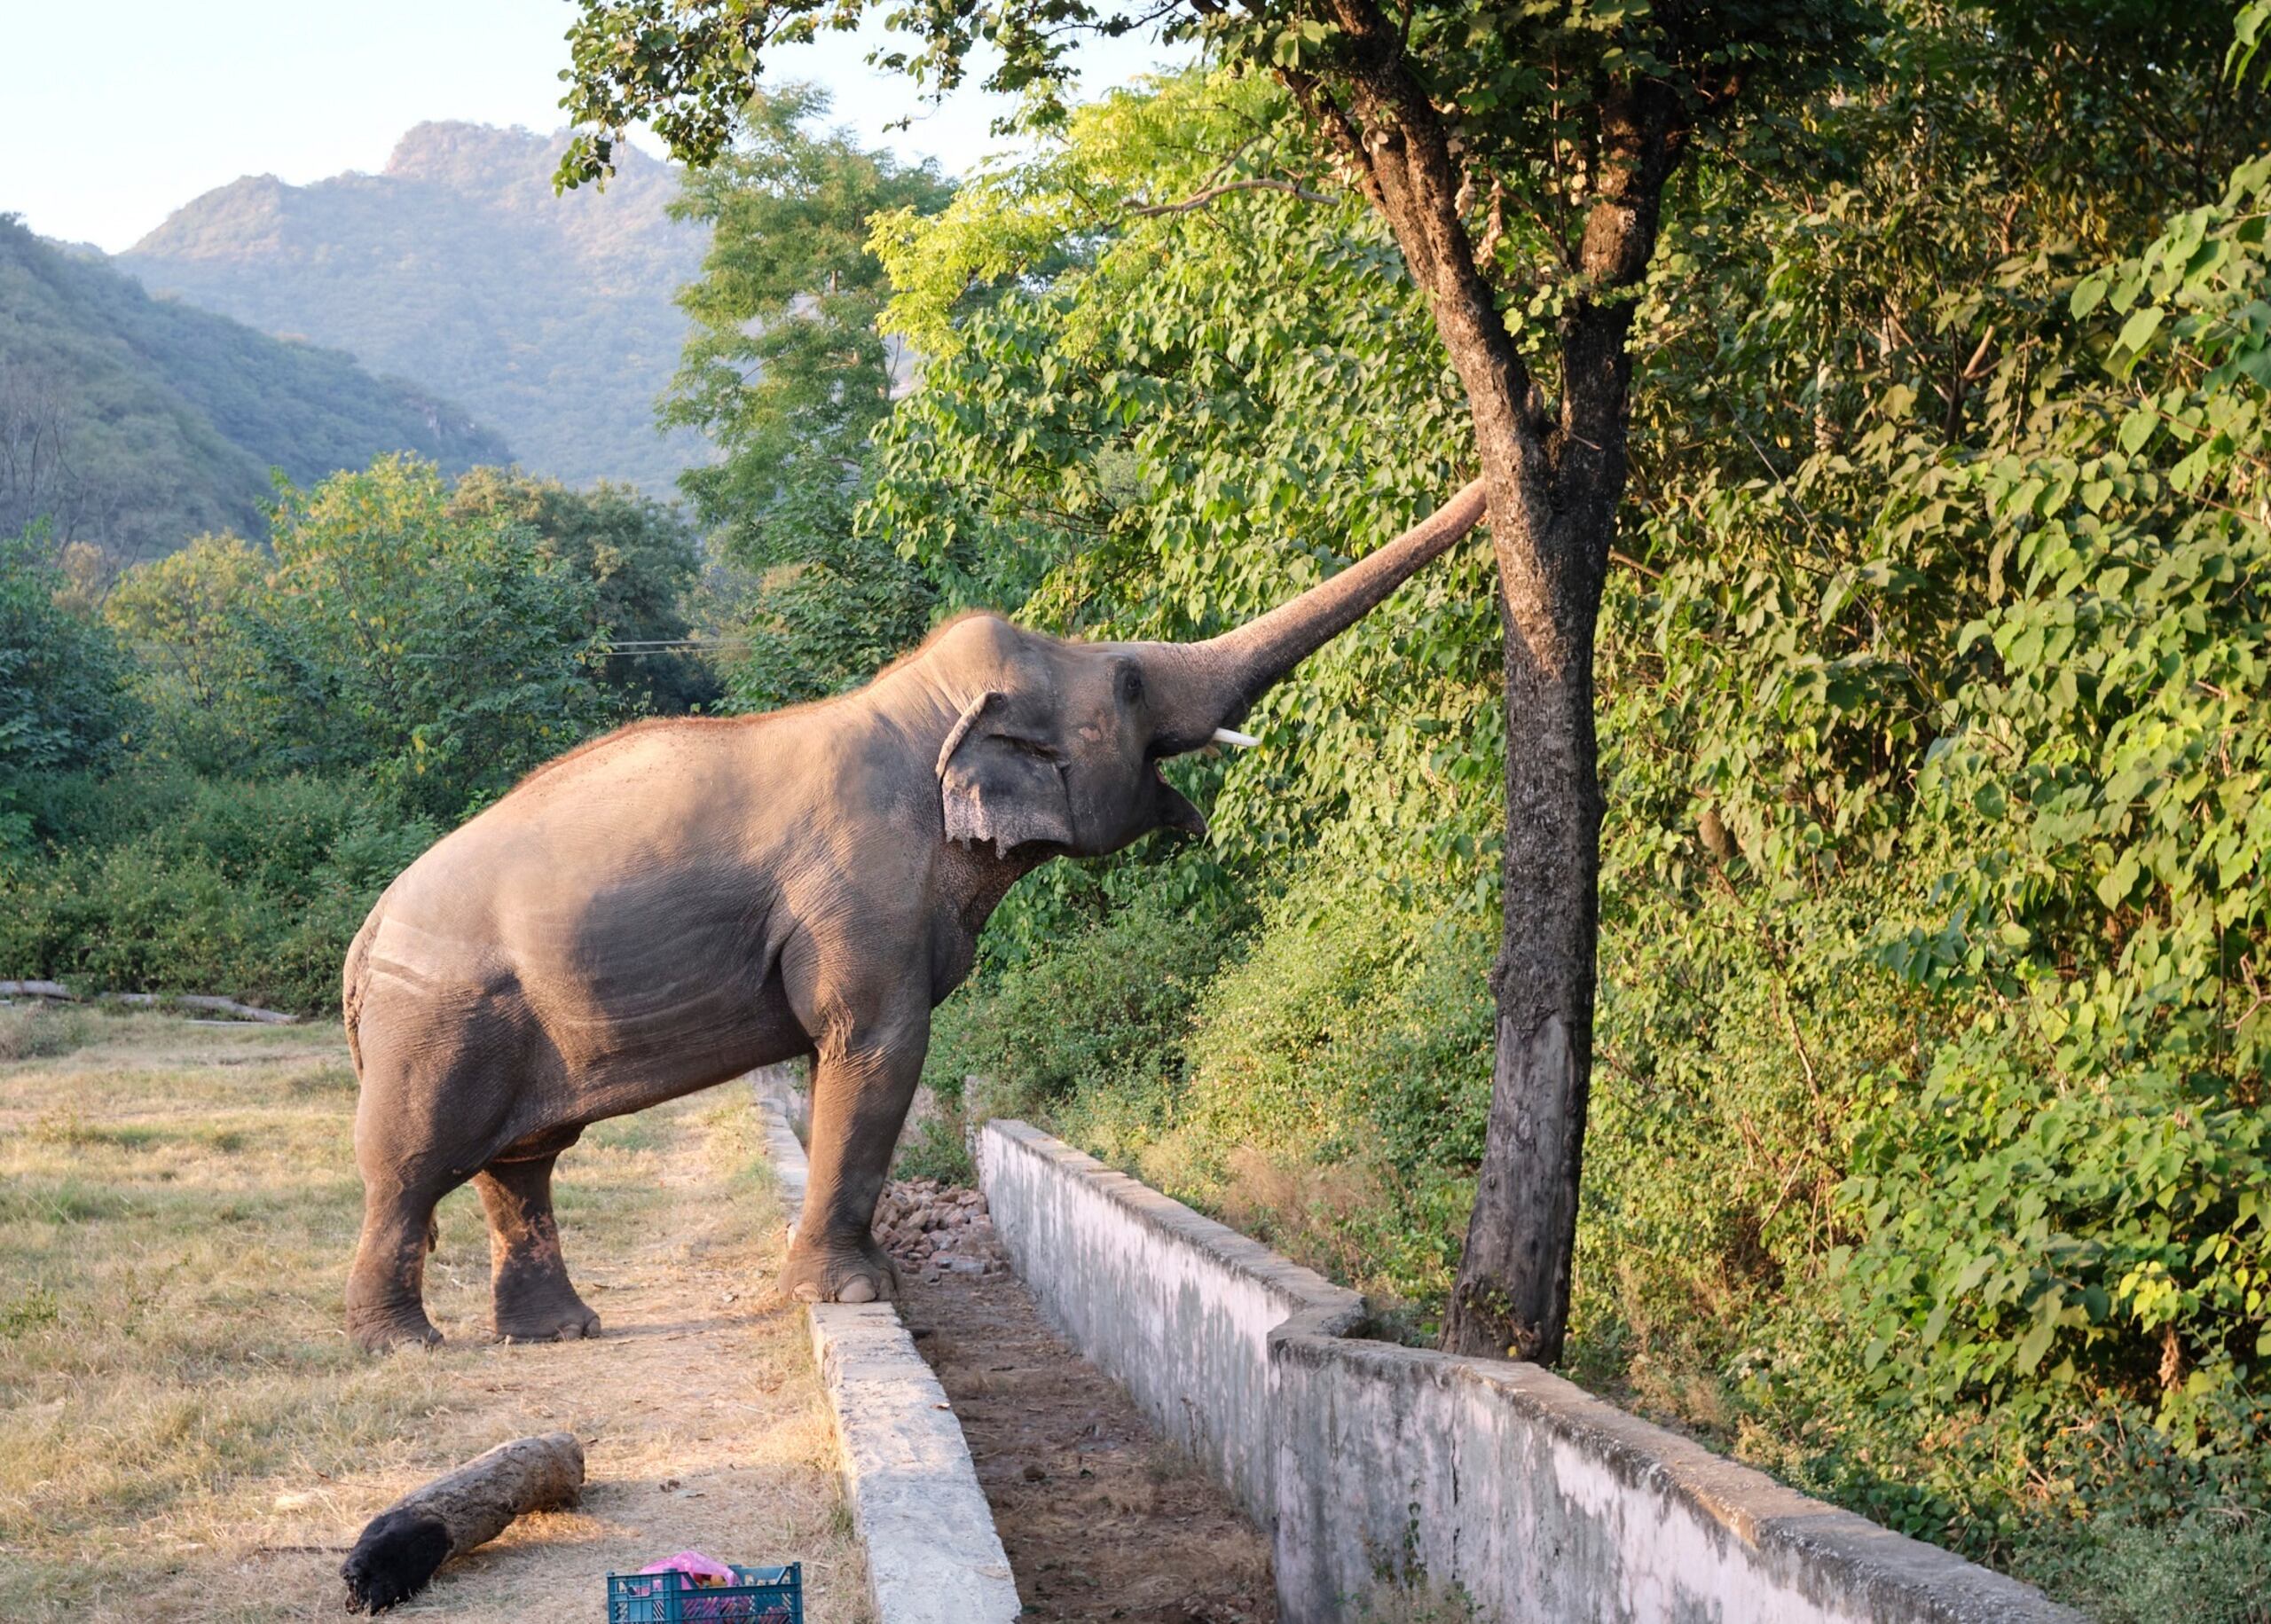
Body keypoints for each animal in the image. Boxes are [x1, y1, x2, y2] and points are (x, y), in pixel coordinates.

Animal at [335, 479, 1489, 1345]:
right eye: (1125, 682)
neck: (920, 710)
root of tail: (364, 936)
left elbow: (837, 1062)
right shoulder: (860, 897)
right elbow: (878, 1047)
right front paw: (856, 1296)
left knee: (521, 1162)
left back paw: (560, 1331)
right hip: (437, 1020)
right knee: (413, 1166)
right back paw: (404, 1344)